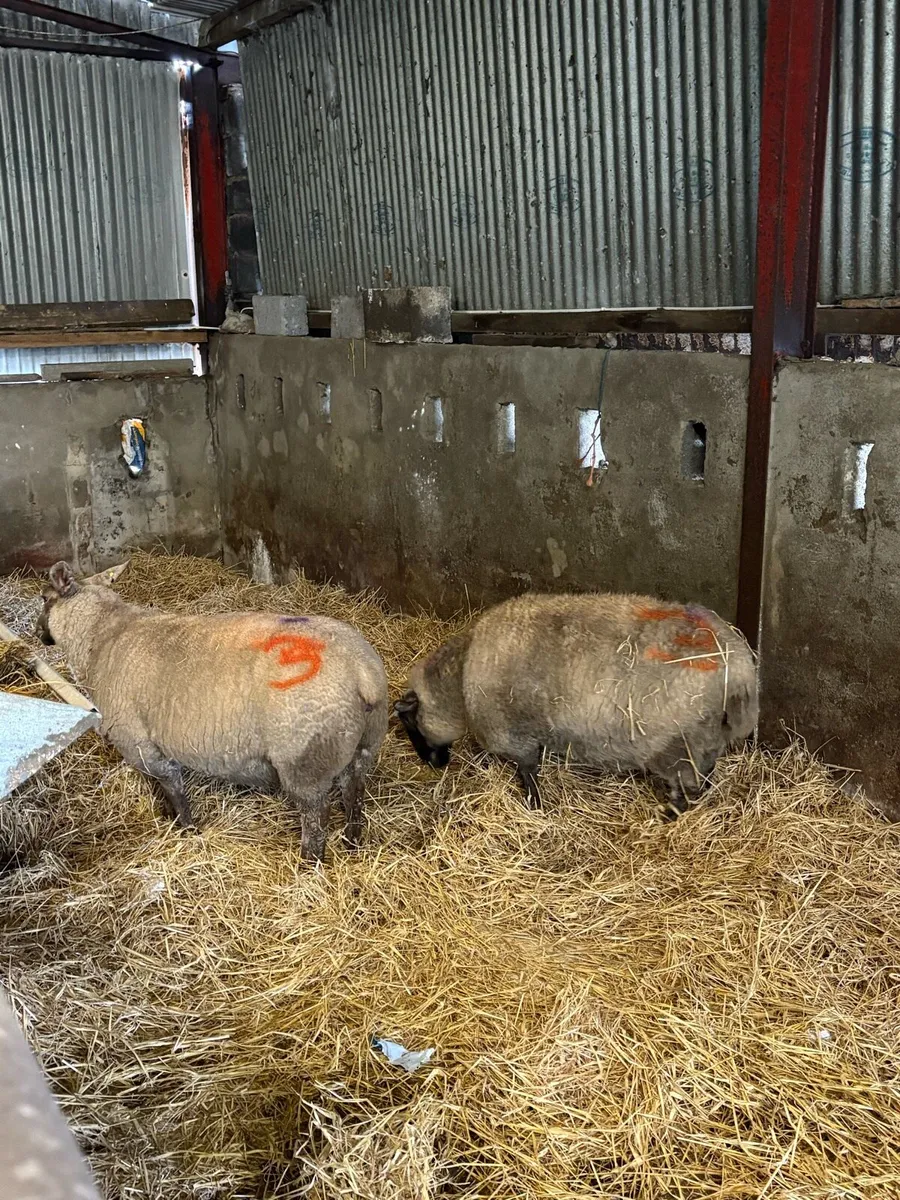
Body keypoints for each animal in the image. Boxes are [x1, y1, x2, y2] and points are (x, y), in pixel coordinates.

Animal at [36, 562, 388, 862]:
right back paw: (353, 842)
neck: (101, 636)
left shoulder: (139, 743)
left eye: (44, 598)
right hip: (363, 746)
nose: (39, 634)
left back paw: (308, 866)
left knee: (315, 821)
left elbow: (172, 788)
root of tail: (362, 671)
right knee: (355, 793)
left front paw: (186, 829)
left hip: (304, 760)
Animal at [395, 592, 757, 812]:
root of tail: (742, 668)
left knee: (689, 787)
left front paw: (535, 806)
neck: (459, 682)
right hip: (706, 741)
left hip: (680, 746)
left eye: (410, 723)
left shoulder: (511, 735)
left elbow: (528, 771)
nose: (433, 765)